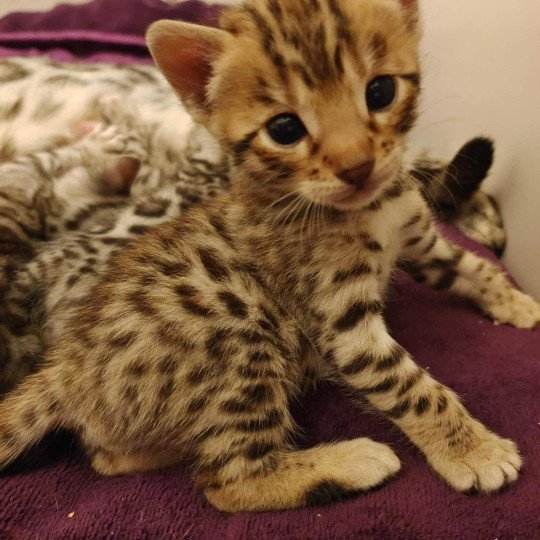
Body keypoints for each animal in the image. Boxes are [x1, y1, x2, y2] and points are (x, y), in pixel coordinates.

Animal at [0, 0, 536, 516]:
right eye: (284, 129)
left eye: (380, 92)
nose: (357, 166)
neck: (369, 209)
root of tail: (64, 367)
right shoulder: (341, 321)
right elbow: (408, 386)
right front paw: (472, 451)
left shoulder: (420, 238)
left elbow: (472, 267)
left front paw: (516, 302)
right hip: (239, 333)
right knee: (227, 479)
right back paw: (354, 461)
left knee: (107, 456)